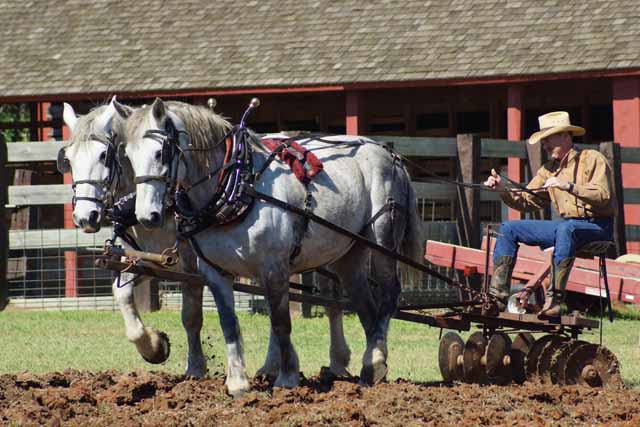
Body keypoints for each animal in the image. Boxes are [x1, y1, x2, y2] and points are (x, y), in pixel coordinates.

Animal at [59, 99, 206, 378]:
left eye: (103, 155)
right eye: (69, 160)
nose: (84, 217)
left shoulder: (192, 266)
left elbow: (191, 316)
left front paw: (195, 368)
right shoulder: (147, 262)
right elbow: (123, 297)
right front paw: (155, 345)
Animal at [117, 98, 422, 396]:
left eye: (160, 153)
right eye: (129, 157)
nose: (147, 216)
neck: (239, 186)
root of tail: (390, 155)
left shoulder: (274, 267)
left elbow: (280, 321)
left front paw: (286, 378)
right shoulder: (215, 272)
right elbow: (228, 323)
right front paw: (238, 383)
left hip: (382, 238)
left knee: (388, 294)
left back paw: (373, 360)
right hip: (349, 254)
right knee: (366, 307)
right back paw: (372, 368)